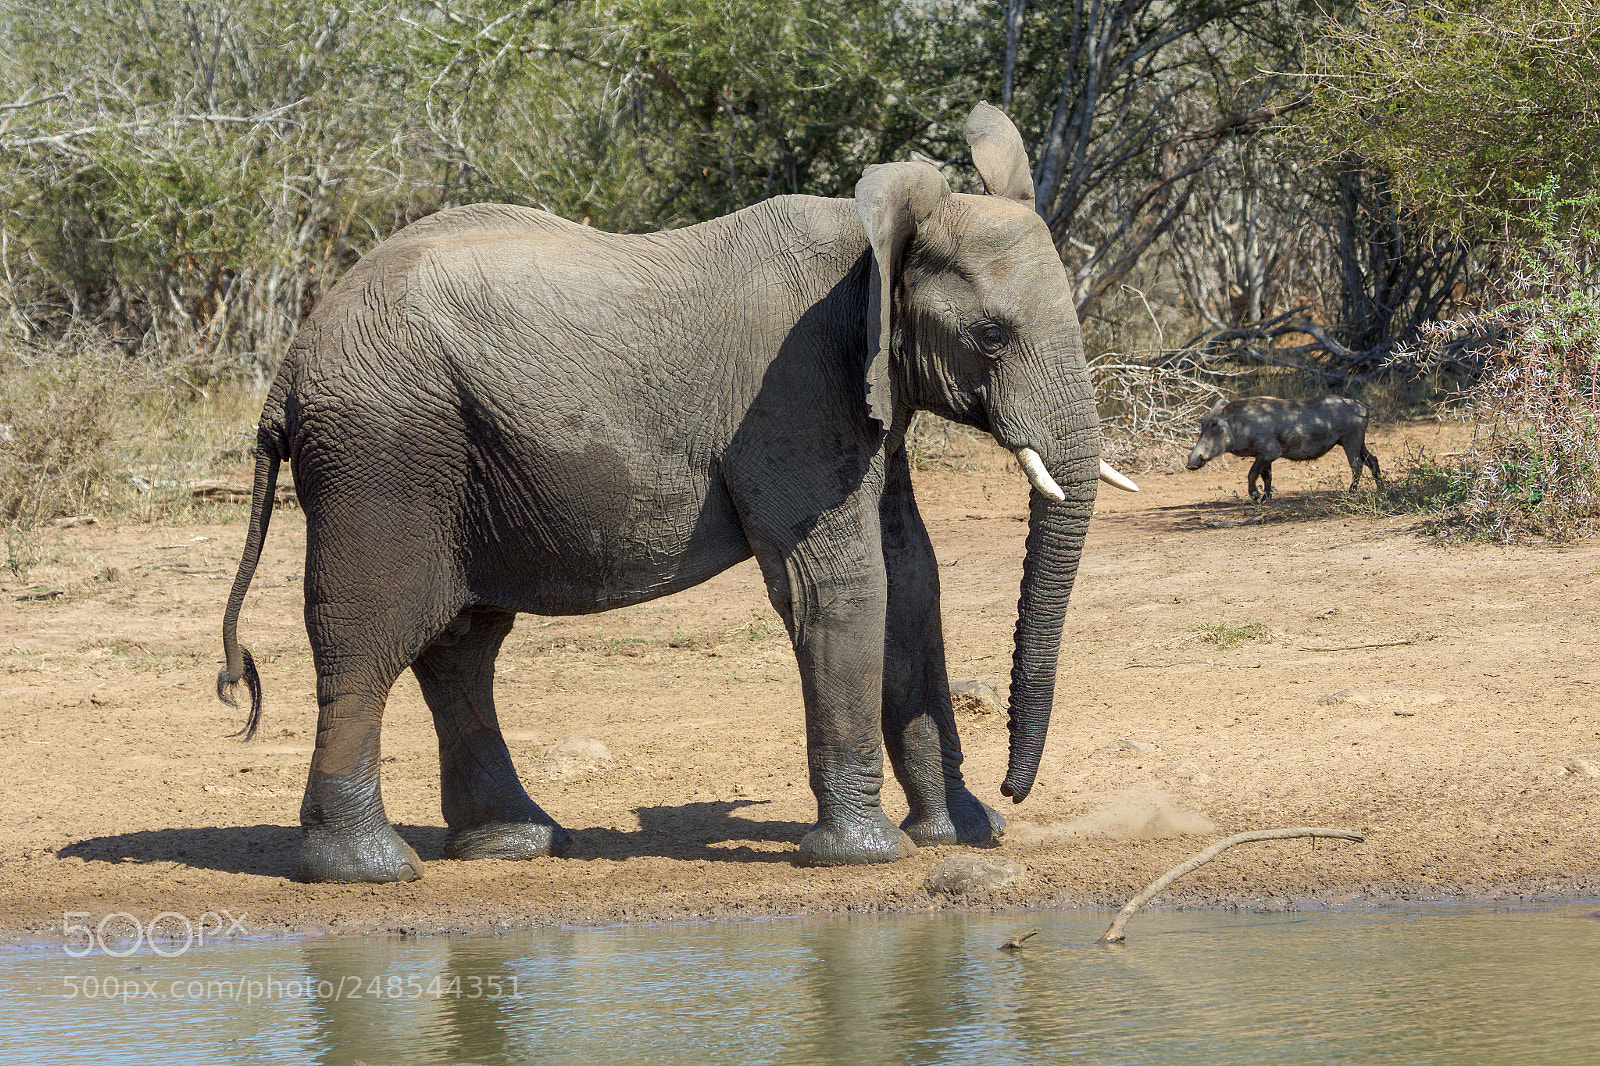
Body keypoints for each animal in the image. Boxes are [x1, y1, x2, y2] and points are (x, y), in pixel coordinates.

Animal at [216, 102, 1137, 883]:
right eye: (992, 336)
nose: (1019, 790)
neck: (871, 240)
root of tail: (289, 369)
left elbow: (914, 580)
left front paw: (964, 833)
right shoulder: (795, 393)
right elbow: (839, 586)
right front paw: (865, 855)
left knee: (462, 643)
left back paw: (516, 842)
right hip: (386, 451)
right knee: (370, 638)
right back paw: (369, 869)